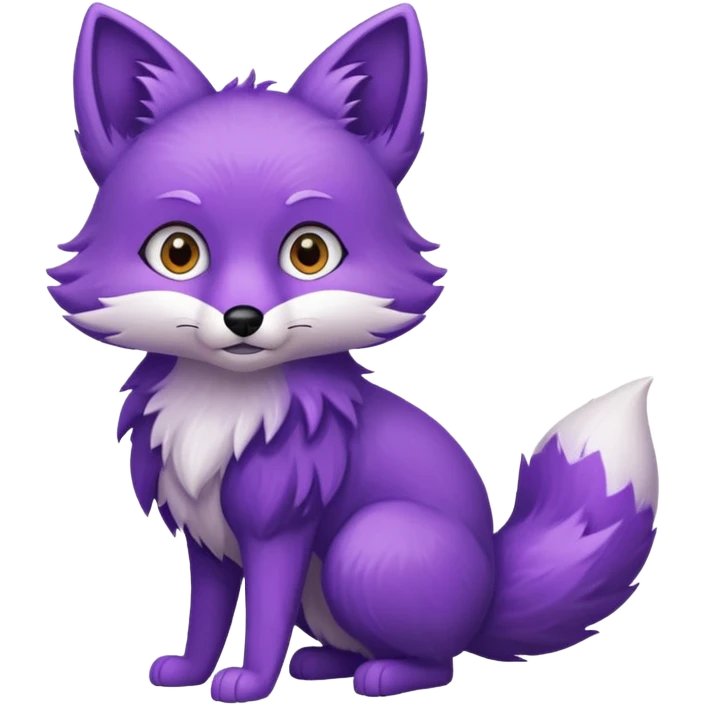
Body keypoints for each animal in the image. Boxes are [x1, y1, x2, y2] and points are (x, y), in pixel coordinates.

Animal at [49, 2, 661, 702]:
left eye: (309, 253)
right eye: (178, 252)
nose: (242, 319)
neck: (222, 409)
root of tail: (489, 593)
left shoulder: (279, 526)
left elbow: (263, 617)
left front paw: (249, 683)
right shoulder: (207, 535)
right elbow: (205, 614)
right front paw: (186, 672)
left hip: (367, 545)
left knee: (438, 661)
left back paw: (384, 675)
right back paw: (324, 665)